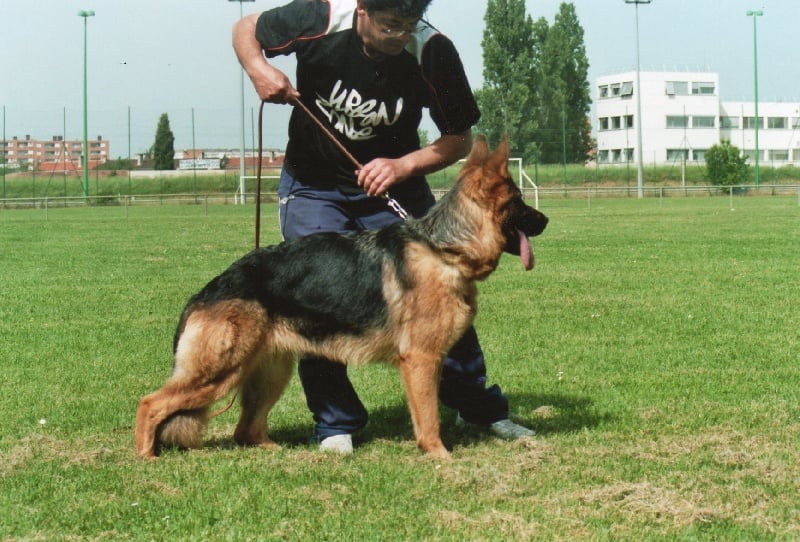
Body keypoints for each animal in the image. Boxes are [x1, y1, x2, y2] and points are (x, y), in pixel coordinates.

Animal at [136, 138, 552, 462]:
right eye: (519, 202)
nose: (547, 221)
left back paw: (276, 451)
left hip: (269, 373)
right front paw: (439, 455)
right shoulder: (420, 360)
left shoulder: (429, 360)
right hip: (220, 371)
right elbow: (429, 416)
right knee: (150, 403)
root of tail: (207, 290)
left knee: (245, 430)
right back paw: (146, 457)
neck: (444, 249)